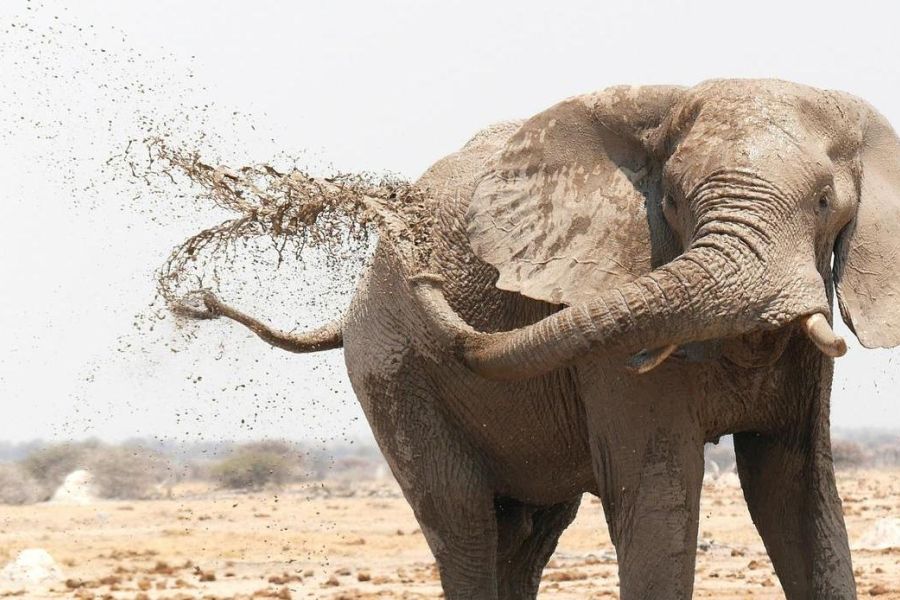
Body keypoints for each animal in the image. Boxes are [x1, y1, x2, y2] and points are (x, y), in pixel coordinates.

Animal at [192, 81, 900, 600]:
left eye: (825, 201)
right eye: (671, 200)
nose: (425, 273)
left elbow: (797, 490)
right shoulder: (609, 330)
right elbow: (659, 489)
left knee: (528, 532)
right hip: (392, 373)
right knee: (464, 525)